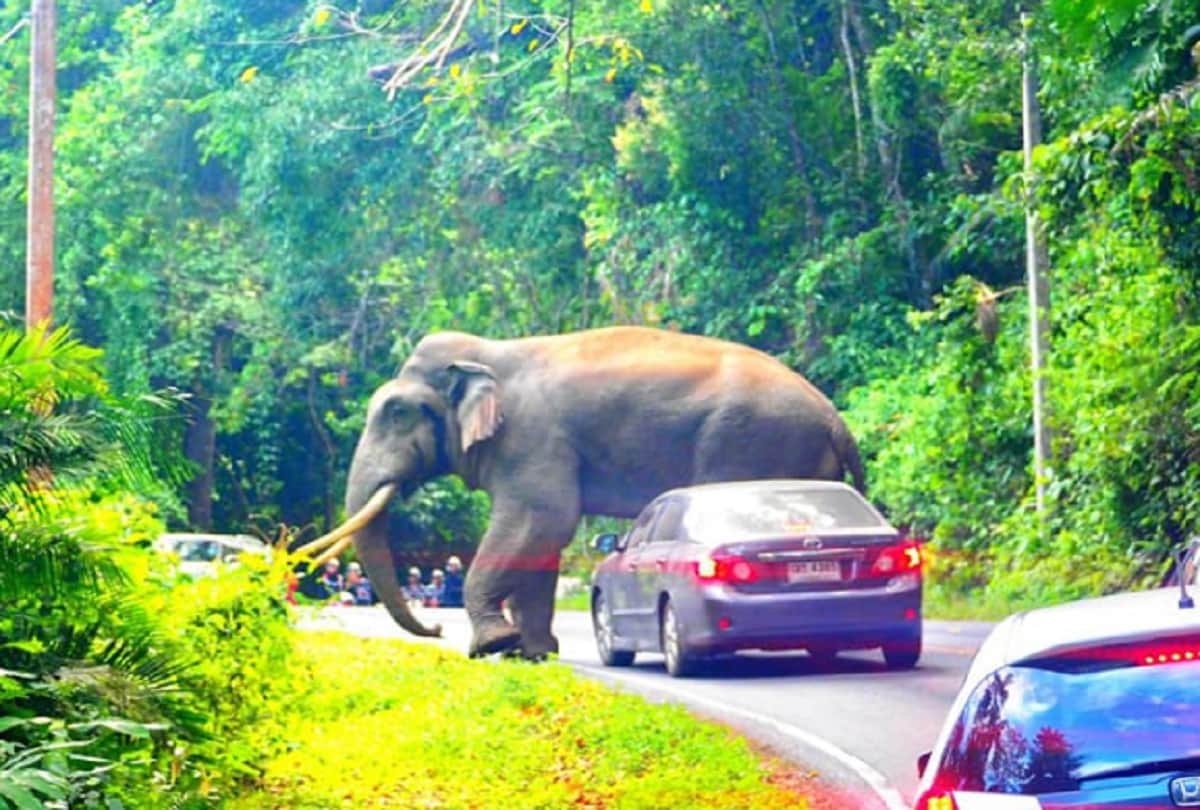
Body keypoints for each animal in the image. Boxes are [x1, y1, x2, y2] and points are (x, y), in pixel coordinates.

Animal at [304, 326, 865, 659]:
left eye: (397, 412)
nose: (438, 632)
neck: (490, 354)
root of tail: (836, 419)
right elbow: (539, 540)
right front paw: (533, 654)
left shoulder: (532, 437)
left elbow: (541, 521)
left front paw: (492, 646)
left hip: (753, 442)